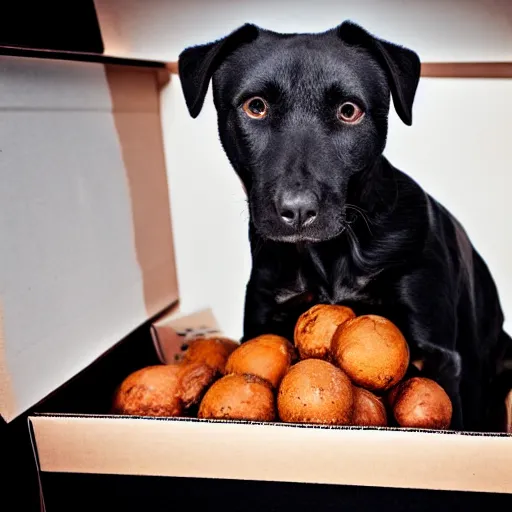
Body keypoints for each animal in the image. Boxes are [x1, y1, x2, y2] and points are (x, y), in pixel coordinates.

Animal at [178, 22, 510, 430]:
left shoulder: (439, 354)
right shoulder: (262, 319)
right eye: (256, 107)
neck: (333, 255)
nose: (298, 210)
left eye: (349, 111)